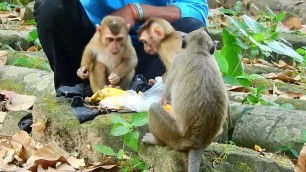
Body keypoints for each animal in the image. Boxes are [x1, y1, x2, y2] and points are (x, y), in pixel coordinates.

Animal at [142, 28, 228, 172]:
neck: (199, 49)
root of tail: (197, 143)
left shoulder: (177, 59)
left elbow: (167, 94)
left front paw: (163, 99)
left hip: (174, 136)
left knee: (153, 108)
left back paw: (156, 140)